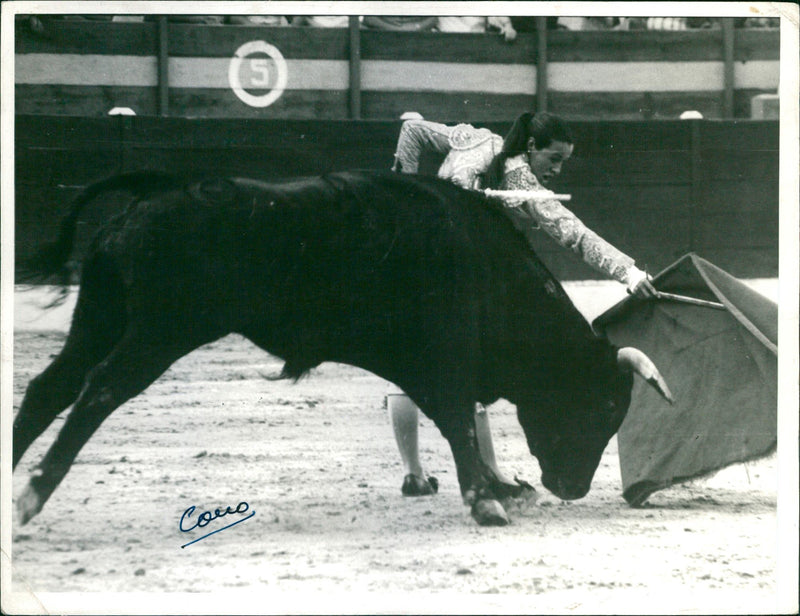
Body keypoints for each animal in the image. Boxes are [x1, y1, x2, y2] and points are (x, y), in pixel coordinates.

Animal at [15, 171, 672, 528]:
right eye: (604, 409)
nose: (573, 488)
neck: (491, 270)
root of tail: (158, 192)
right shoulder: (445, 362)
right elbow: (458, 421)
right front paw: (485, 502)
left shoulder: (433, 369)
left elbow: (459, 421)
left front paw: (498, 489)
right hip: (160, 332)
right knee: (99, 390)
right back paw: (33, 493)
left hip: (100, 319)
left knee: (49, 388)